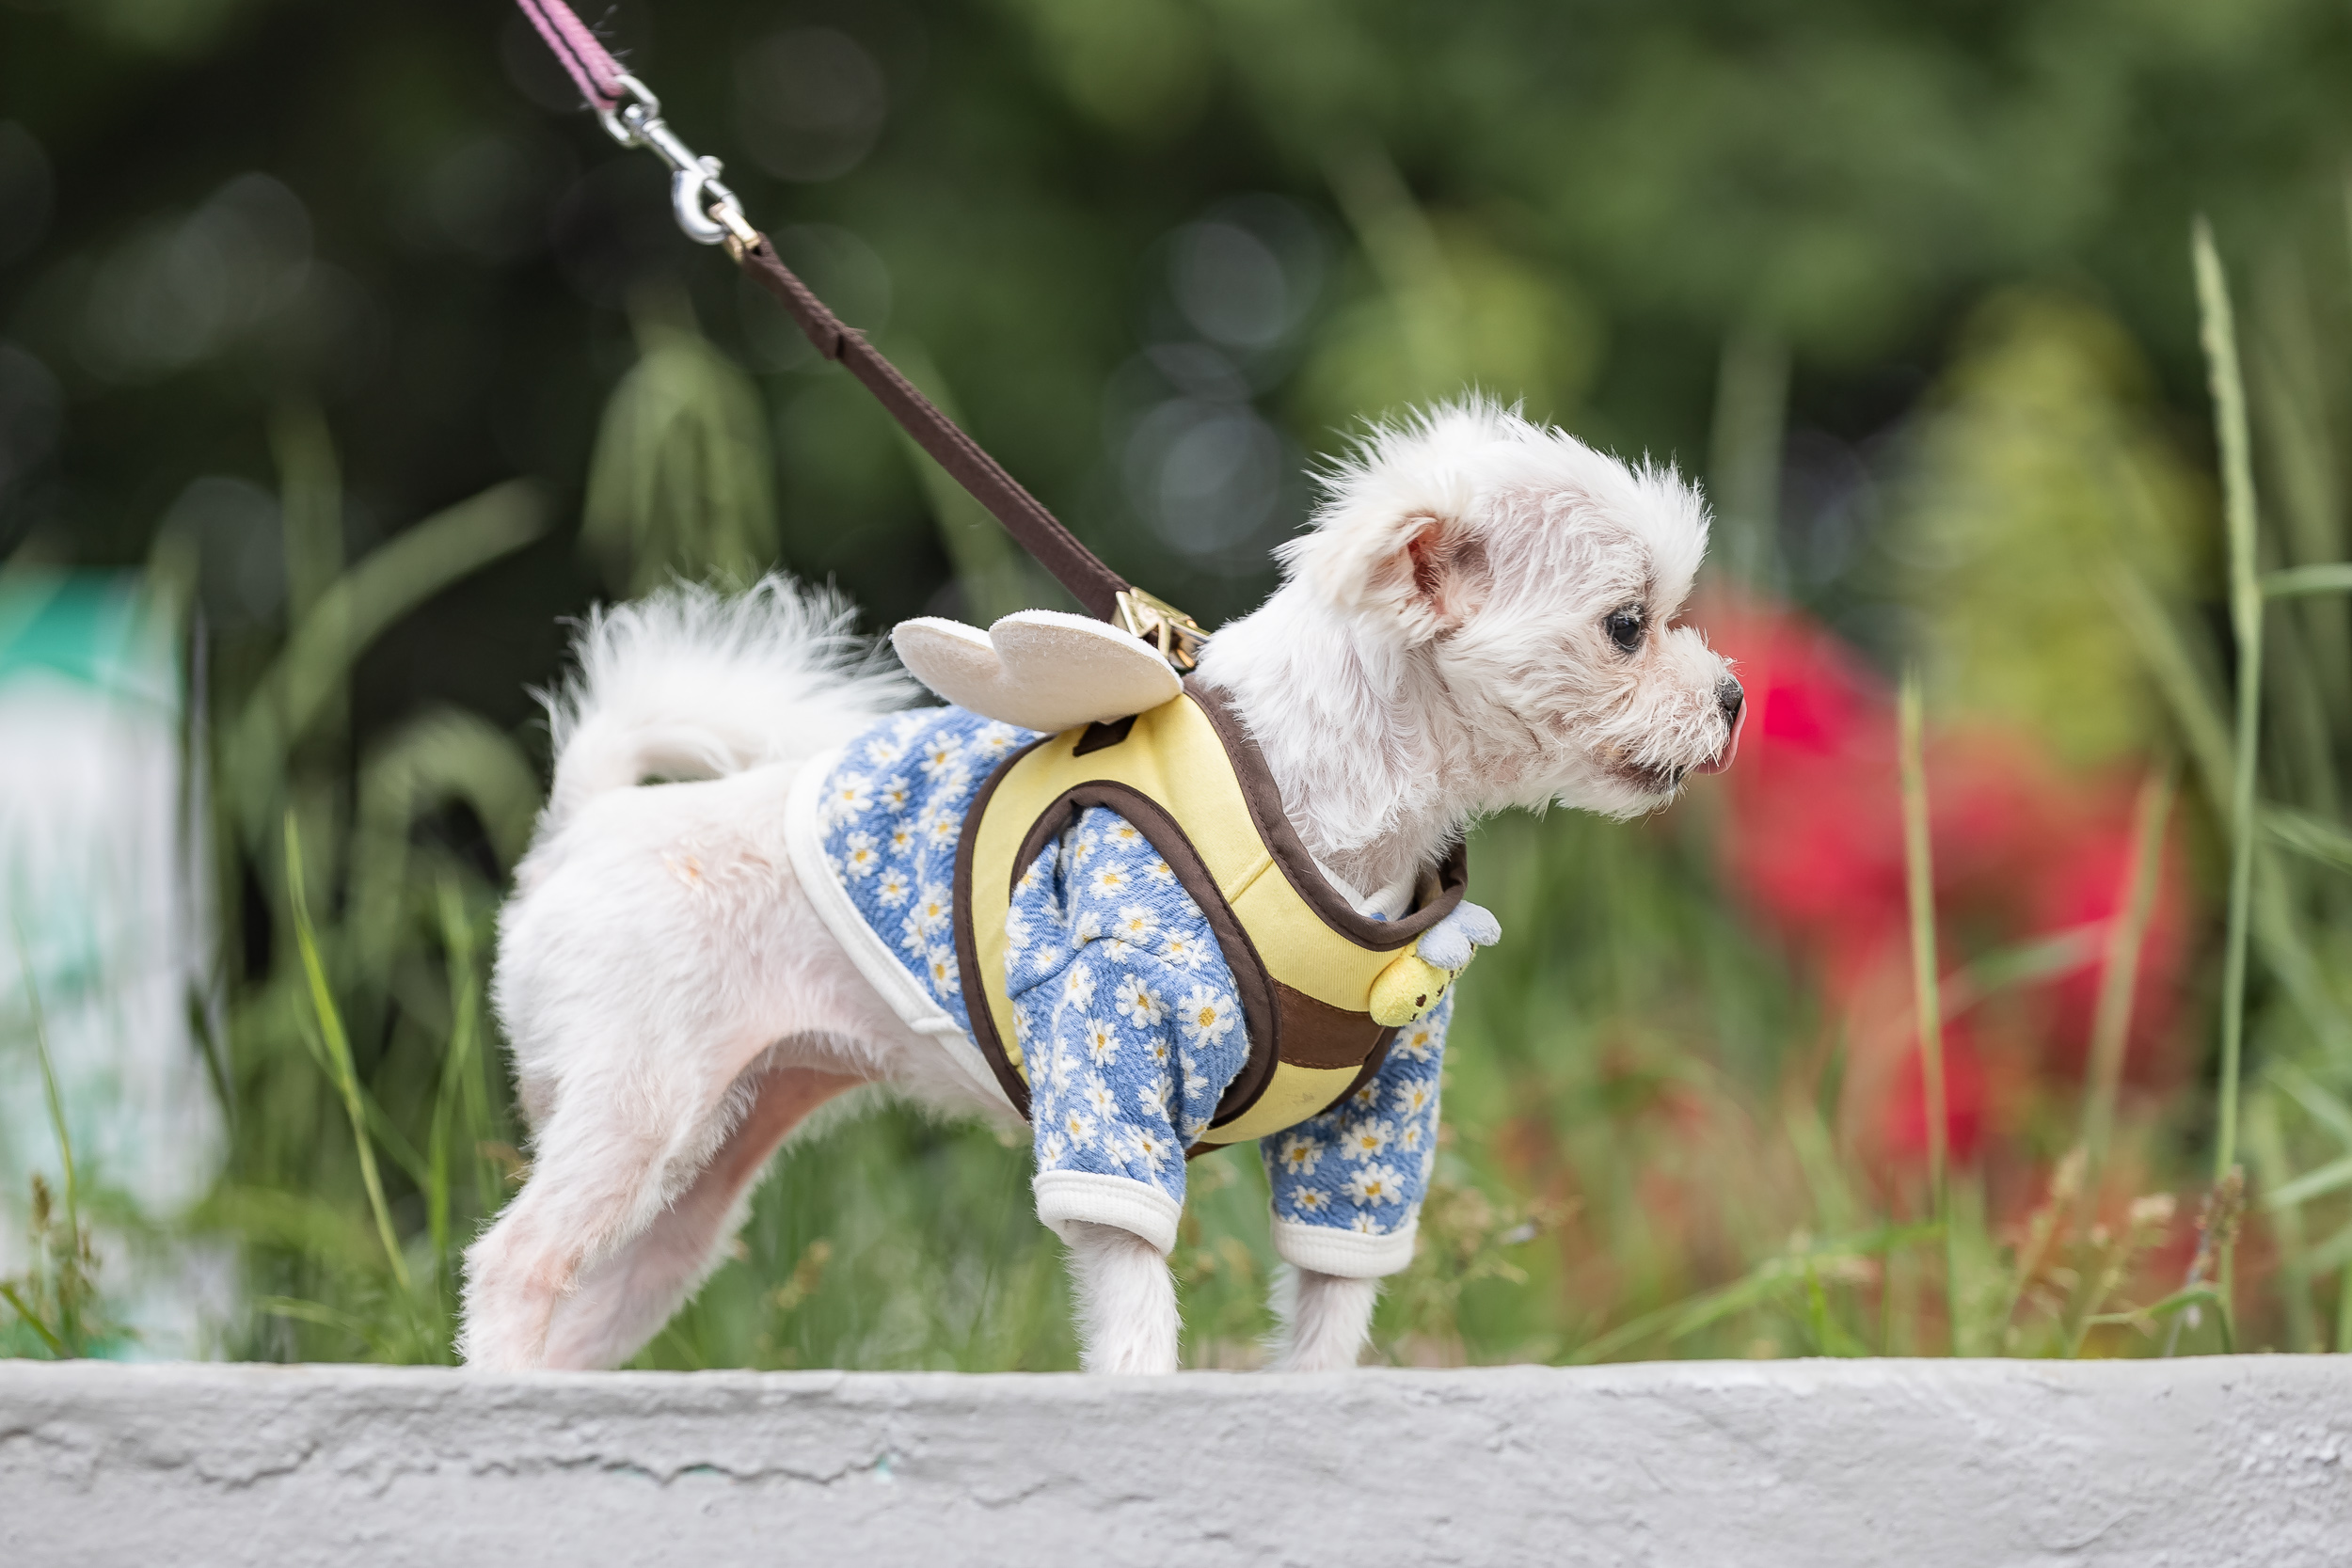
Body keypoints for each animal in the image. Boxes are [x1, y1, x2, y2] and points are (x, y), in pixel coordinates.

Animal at [463, 402, 1750, 1372]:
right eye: (1626, 625)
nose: (1734, 694)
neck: (1314, 805)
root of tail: (584, 824)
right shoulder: (1110, 1065)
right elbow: (1135, 1307)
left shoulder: (1372, 1126)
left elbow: (1327, 1318)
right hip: (638, 1103)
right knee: (514, 1262)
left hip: (700, 1174)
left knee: (590, 1297)